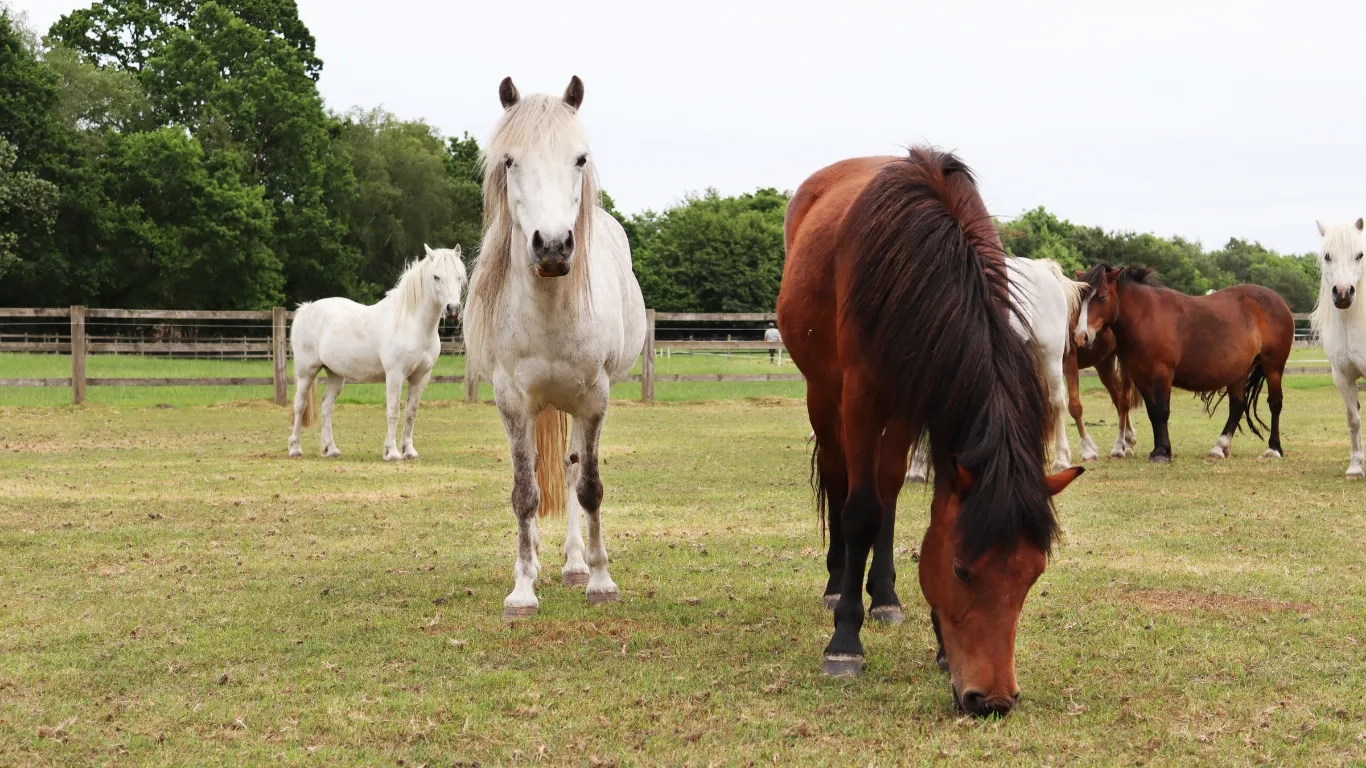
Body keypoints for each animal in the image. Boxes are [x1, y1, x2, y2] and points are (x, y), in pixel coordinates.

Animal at [288, 245, 465, 460]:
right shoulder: (395, 375)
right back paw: (295, 449)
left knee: (326, 406)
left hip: (335, 374)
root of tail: (305, 309)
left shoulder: (421, 377)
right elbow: (393, 411)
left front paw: (409, 451)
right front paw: (393, 452)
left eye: (459, 276)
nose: (453, 309)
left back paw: (331, 449)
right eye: (436, 276)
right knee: (299, 405)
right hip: (306, 372)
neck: (412, 323)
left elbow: (411, 413)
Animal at [463, 76, 646, 619]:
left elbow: (589, 487)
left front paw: (601, 580)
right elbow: (525, 493)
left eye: (579, 159)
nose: (552, 246)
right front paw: (523, 588)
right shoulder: (513, 403)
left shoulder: (594, 401)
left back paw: (575, 564)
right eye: (509, 161)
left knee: (569, 470)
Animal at [1074, 265, 1294, 463]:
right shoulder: (1140, 376)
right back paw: (1219, 448)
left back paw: (1274, 449)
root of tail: (1279, 301)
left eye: (1102, 298)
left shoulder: (1162, 373)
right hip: (1240, 372)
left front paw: (1162, 452)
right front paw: (1159, 449)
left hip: (1273, 366)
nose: (1080, 336)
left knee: (1275, 403)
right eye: (1081, 299)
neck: (1147, 317)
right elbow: (1153, 412)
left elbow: (1162, 411)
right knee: (1237, 406)